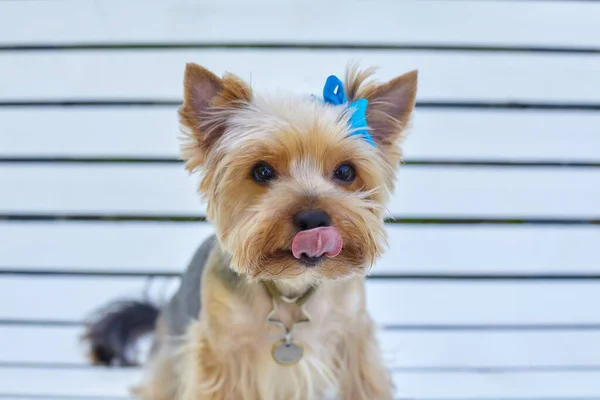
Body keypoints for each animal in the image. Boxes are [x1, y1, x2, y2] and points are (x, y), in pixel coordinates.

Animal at [84, 62, 418, 400]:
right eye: (262, 171)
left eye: (346, 171)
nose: (314, 218)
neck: (289, 290)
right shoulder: (220, 355)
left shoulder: (353, 335)